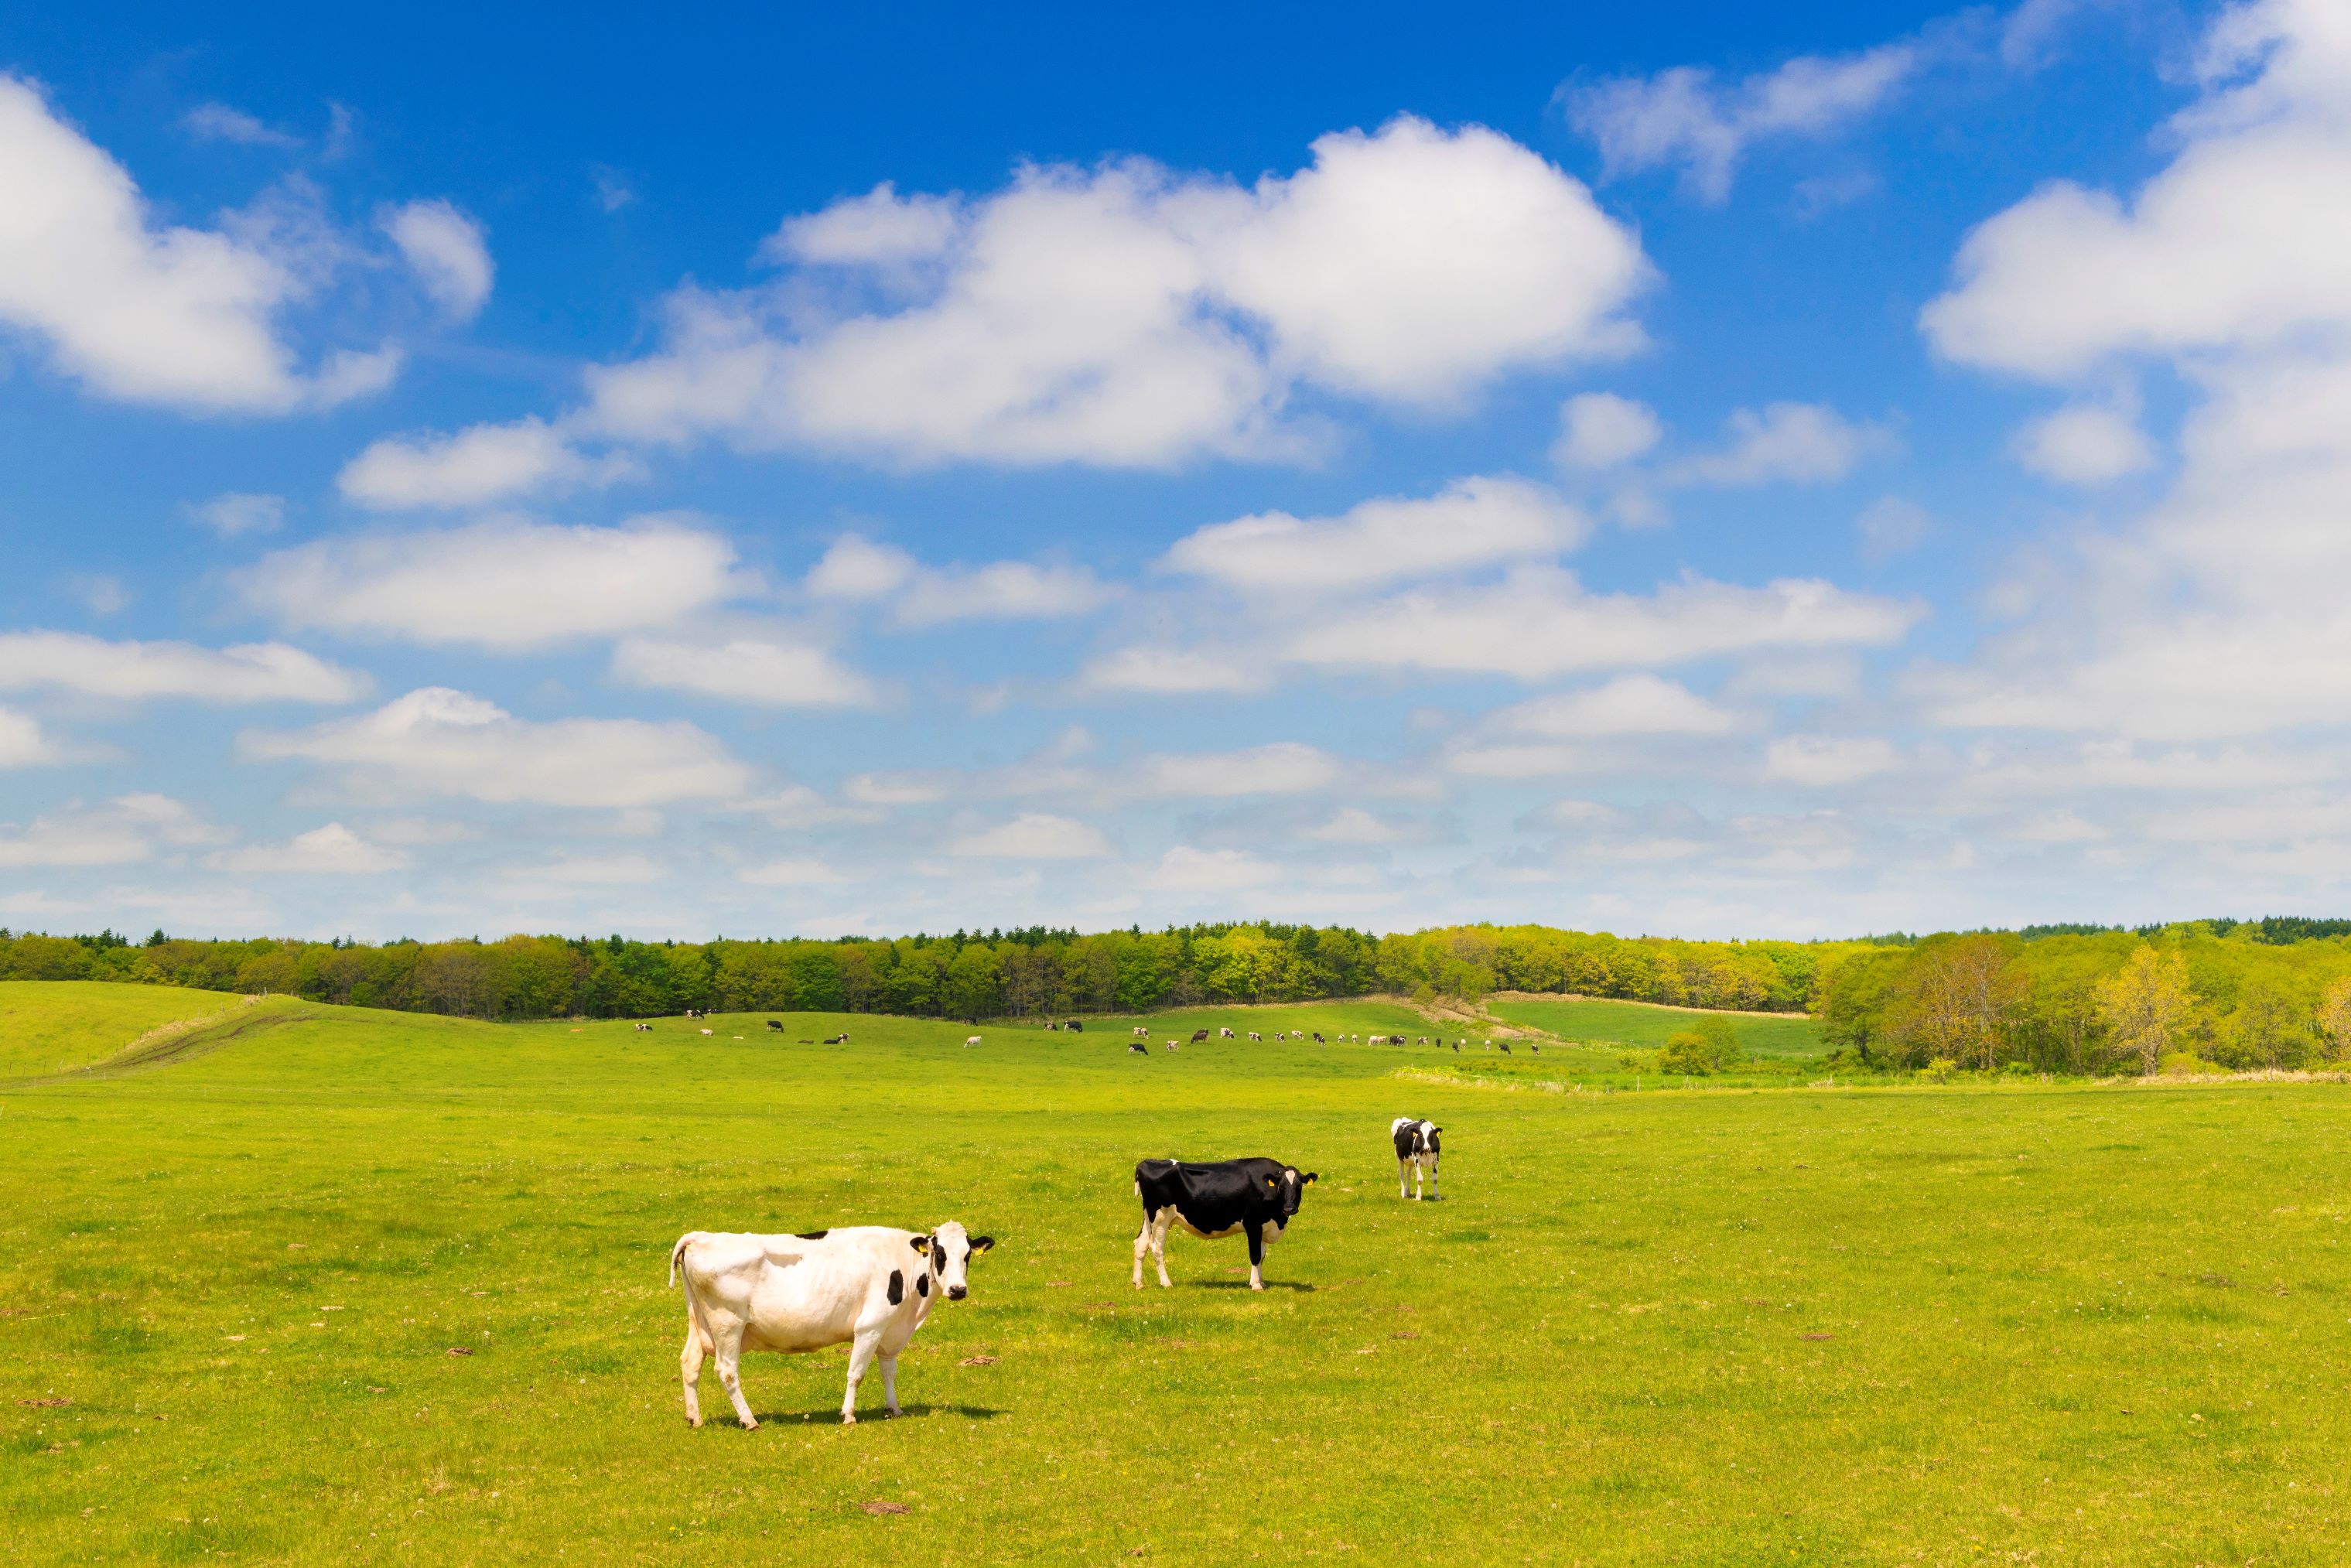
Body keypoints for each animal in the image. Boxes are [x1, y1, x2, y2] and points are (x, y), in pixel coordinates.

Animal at [662, 1222, 992, 1438]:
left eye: (967, 1255)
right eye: (940, 1253)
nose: (958, 1290)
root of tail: (701, 1237)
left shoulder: (889, 1331)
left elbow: (889, 1372)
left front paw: (894, 1409)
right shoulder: (869, 1326)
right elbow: (856, 1374)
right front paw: (848, 1415)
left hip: (699, 1323)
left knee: (690, 1363)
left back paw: (695, 1418)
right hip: (727, 1324)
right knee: (727, 1371)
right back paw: (749, 1420)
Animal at [1128, 1161, 1316, 1297]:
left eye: (1299, 1186)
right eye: (1281, 1187)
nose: (1290, 1209)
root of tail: (1147, 1162)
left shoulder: (1264, 1228)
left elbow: (1262, 1257)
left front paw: (1261, 1281)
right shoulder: (1253, 1224)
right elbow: (1255, 1256)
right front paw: (1256, 1285)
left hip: (1149, 1219)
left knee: (1140, 1245)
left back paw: (1138, 1283)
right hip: (1160, 1218)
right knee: (1156, 1248)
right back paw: (1166, 1283)